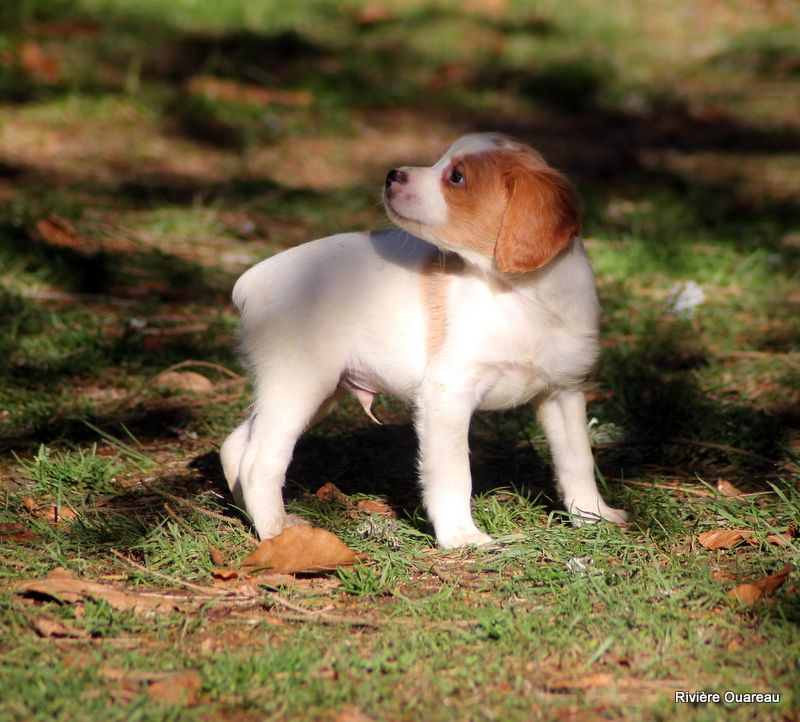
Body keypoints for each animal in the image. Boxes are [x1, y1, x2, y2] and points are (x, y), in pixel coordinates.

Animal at [222, 132, 628, 544]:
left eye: (457, 178)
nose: (391, 174)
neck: (518, 296)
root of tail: (253, 279)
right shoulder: (447, 395)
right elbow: (453, 475)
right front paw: (461, 537)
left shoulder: (564, 391)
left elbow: (577, 460)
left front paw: (593, 516)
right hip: (299, 385)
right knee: (259, 461)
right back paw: (276, 534)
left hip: (314, 393)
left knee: (236, 446)